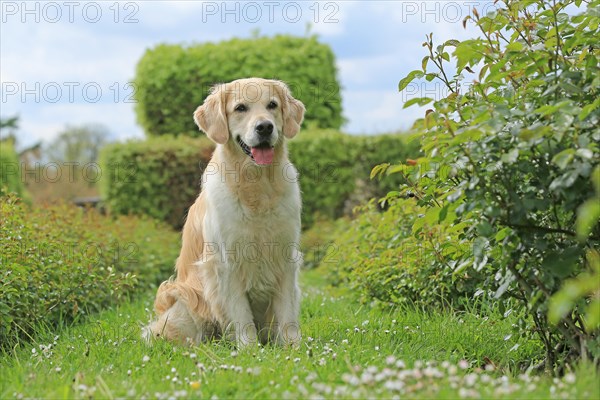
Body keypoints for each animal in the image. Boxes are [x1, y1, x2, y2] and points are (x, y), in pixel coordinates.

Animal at [145, 78, 304, 346]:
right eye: (240, 108)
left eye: (272, 105)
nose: (265, 127)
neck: (256, 185)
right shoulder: (225, 262)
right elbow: (241, 314)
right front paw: (249, 349)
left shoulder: (285, 256)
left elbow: (288, 315)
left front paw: (294, 348)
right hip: (186, 305)